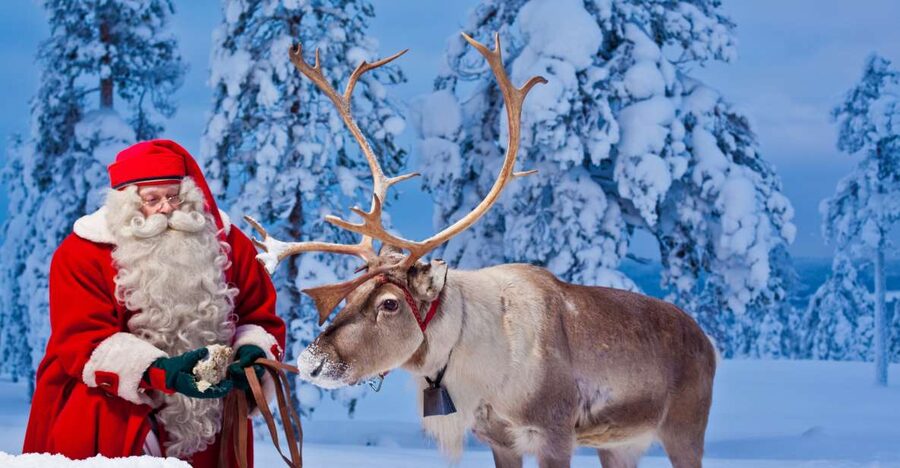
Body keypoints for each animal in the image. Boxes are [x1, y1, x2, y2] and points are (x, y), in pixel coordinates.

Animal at [245, 33, 717, 468]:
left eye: (390, 303)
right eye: (350, 293)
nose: (311, 362)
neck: (479, 369)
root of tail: (706, 341)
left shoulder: (554, 431)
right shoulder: (498, 438)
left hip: (684, 427)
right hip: (620, 443)